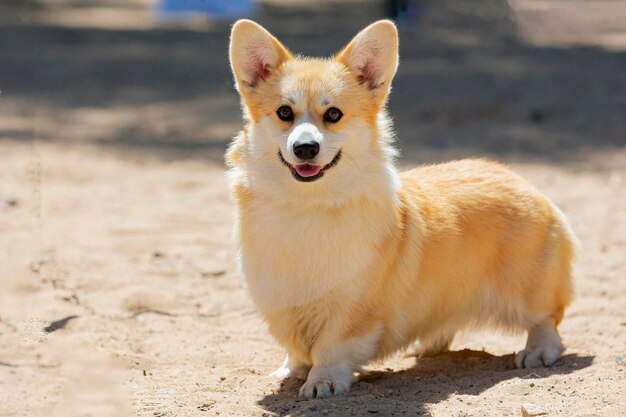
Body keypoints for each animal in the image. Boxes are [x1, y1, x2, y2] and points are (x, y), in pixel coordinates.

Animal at [227, 18, 572, 396]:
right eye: (284, 113)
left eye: (333, 114)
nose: (305, 148)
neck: (307, 205)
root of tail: (523, 181)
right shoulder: (280, 301)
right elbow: (295, 347)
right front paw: (291, 370)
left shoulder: (352, 308)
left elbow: (331, 348)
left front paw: (322, 382)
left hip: (527, 291)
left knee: (547, 322)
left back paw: (536, 352)